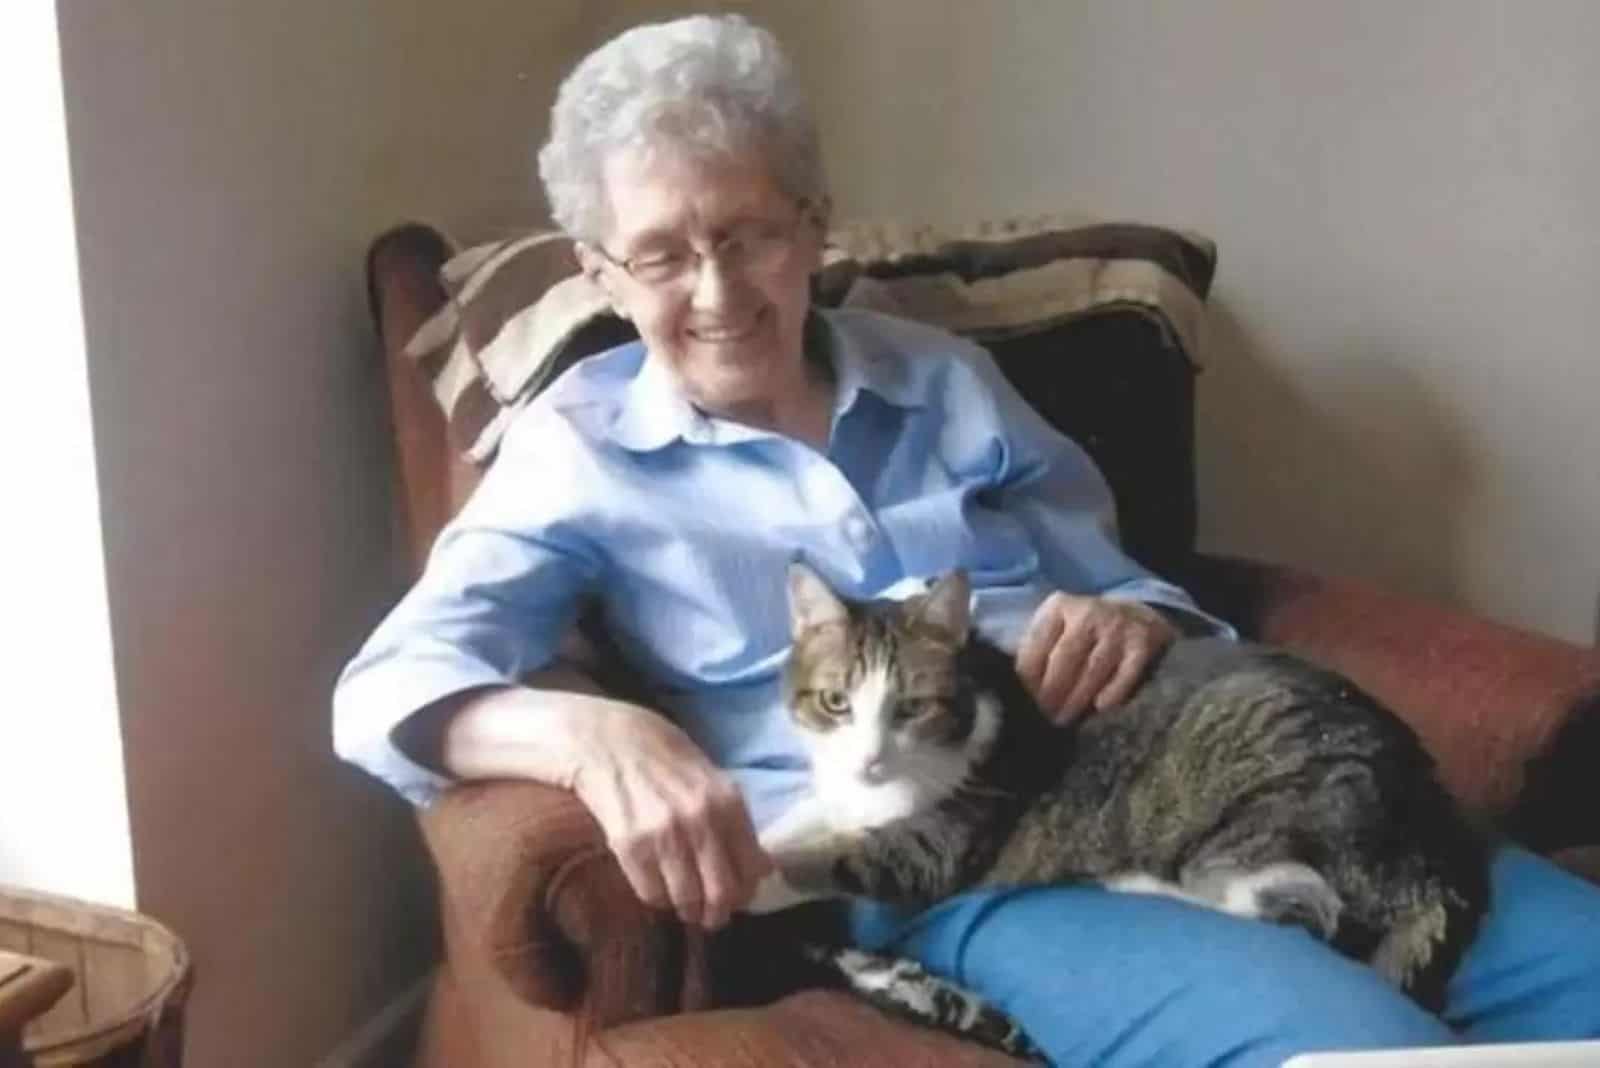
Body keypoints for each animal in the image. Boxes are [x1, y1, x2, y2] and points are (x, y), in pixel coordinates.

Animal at [755, 562, 1491, 1055]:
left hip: (1261, 819)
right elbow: (803, 821)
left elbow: (837, 857)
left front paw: (758, 877)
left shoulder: (934, 847)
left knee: (1298, 908)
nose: (870, 760)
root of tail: (1438, 845)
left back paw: (1135, 879)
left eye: (911, 708)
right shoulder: (841, 798)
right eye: (836, 703)